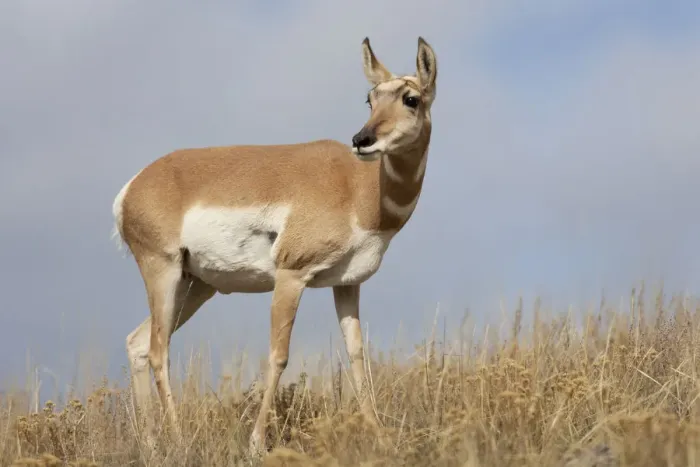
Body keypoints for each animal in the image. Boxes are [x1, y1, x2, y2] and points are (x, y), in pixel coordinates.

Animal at [112, 36, 438, 453]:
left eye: (410, 98)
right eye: (370, 97)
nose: (362, 140)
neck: (356, 188)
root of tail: (134, 185)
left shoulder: (347, 284)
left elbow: (356, 354)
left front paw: (379, 433)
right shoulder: (290, 275)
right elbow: (278, 356)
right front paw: (255, 443)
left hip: (195, 285)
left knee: (138, 343)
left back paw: (152, 444)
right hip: (163, 271)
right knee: (157, 350)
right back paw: (180, 440)